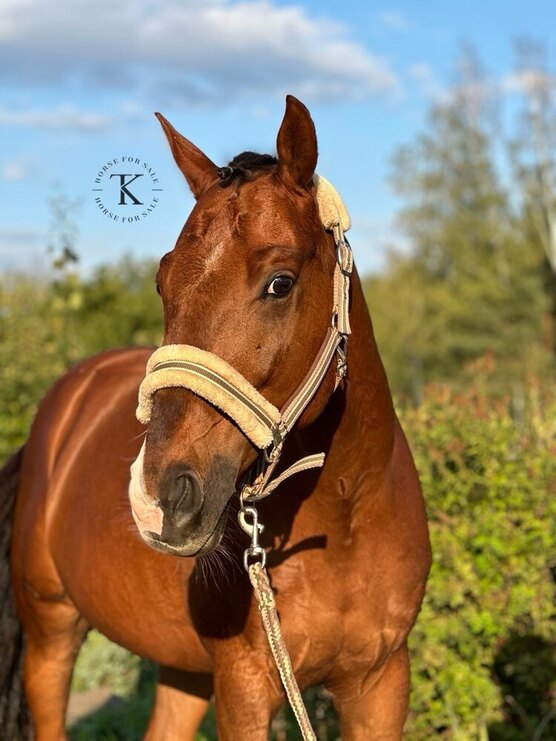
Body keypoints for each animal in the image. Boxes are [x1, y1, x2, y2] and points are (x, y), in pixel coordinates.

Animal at [0, 95, 431, 740]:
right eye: (162, 281)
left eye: (280, 283)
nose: (157, 497)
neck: (348, 516)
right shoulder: (246, 688)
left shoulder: (380, 684)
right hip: (51, 631)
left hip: (181, 669)